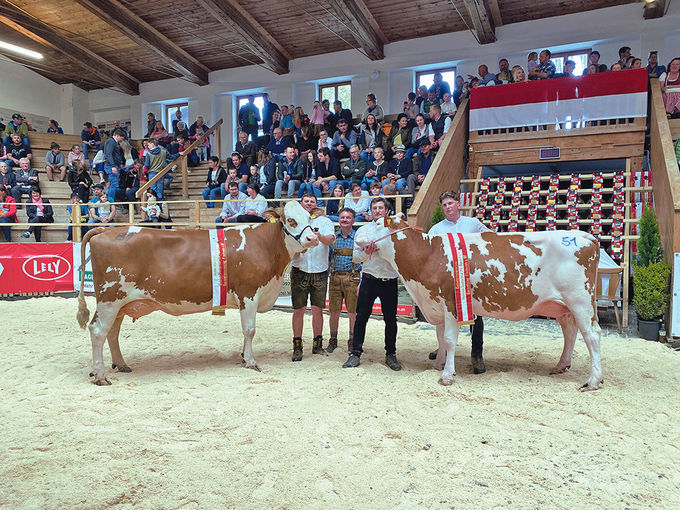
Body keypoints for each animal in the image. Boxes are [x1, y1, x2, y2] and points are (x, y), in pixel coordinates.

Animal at [77, 201, 318, 384]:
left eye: (310, 218)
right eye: (291, 220)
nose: (313, 238)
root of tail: (107, 230)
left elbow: (246, 332)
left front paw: (243, 356)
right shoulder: (248, 293)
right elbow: (249, 330)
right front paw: (250, 362)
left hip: (120, 303)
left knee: (112, 332)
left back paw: (121, 364)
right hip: (110, 299)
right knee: (98, 331)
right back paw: (100, 376)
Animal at [354, 215, 604, 390]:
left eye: (377, 222)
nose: (356, 233)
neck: (428, 256)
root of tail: (586, 236)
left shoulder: (451, 304)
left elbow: (449, 340)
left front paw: (447, 375)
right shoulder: (437, 303)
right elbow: (440, 338)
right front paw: (439, 365)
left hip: (581, 301)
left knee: (592, 336)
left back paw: (593, 380)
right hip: (562, 306)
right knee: (570, 333)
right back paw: (561, 366)